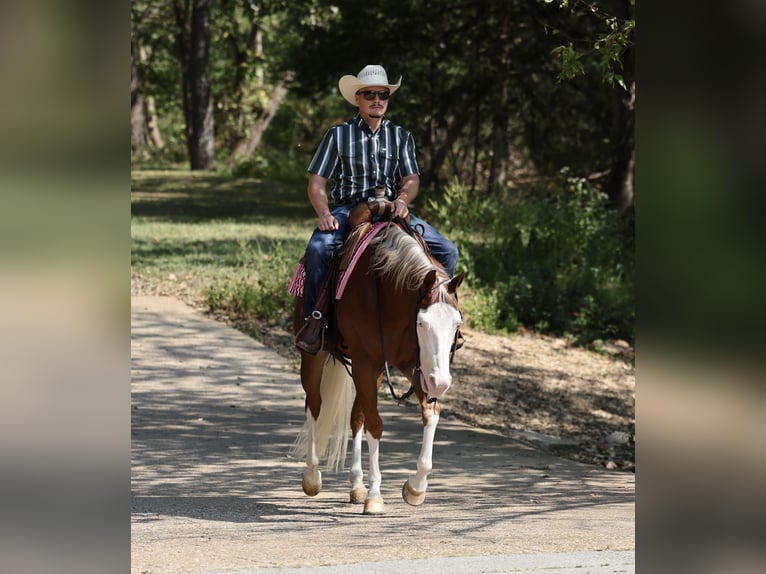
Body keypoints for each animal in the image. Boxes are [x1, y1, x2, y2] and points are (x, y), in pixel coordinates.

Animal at [290, 216, 464, 515]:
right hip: (315, 358)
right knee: (315, 405)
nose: (441, 383)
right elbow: (375, 425)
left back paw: (356, 485)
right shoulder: (366, 362)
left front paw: (415, 487)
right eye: (422, 323)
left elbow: (430, 414)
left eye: (457, 324)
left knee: (355, 416)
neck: (388, 292)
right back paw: (313, 477)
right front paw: (374, 495)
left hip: (373, 373)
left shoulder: (413, 365)